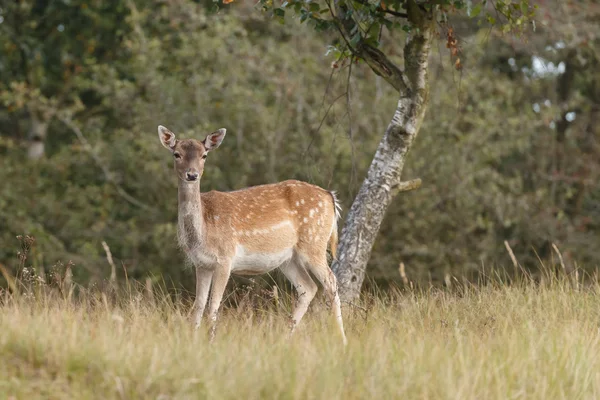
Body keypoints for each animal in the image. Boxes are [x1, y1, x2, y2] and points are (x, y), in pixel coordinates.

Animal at [157, 124, 350, 344]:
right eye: (176, 154)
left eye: (204, 155)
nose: (192, 175)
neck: (203, 232)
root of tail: (330, 197)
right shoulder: (202, 264)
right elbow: (198, 305)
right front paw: (194, 340)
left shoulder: (225, 258)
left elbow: (213, 305)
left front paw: (211, 341)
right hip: (288, 258)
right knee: (308, 287)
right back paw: (284, 337)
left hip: (314, 243)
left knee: (331, 282)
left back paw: (342, 339)